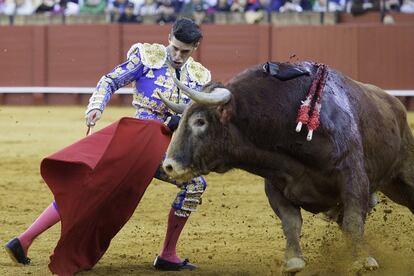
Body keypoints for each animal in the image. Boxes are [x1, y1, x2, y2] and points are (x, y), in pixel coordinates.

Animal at [158, 61, 414, 274]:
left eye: (200, 121)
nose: (169, 165)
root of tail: (395, 105)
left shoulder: (353, 176)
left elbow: (353, 220)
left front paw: (362, 259)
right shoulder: (275, 185)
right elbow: (291, 223)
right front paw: (293, 261)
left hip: (403, 176)